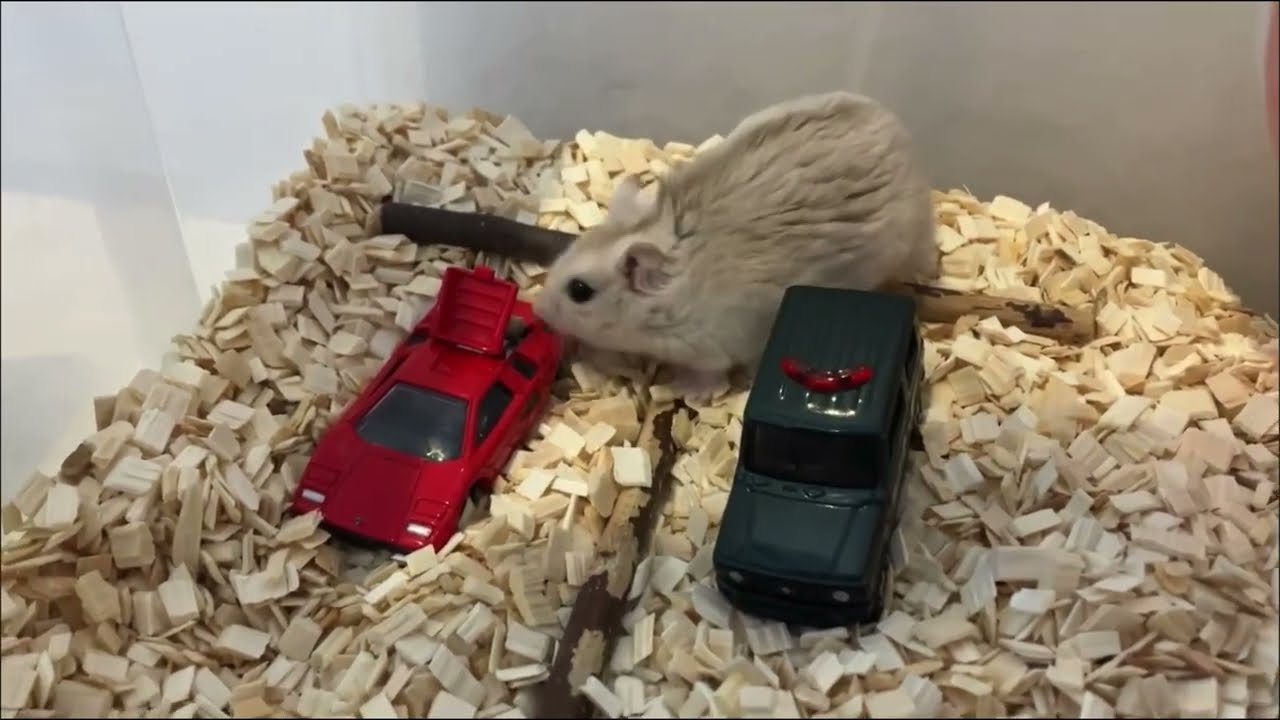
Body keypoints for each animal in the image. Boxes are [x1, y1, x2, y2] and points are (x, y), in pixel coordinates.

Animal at [531, 91, 937, 384]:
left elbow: (709, 376)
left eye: (579, 291)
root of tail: (901, 132)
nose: (537, 310)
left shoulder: (712, 348)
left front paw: (687, 388)